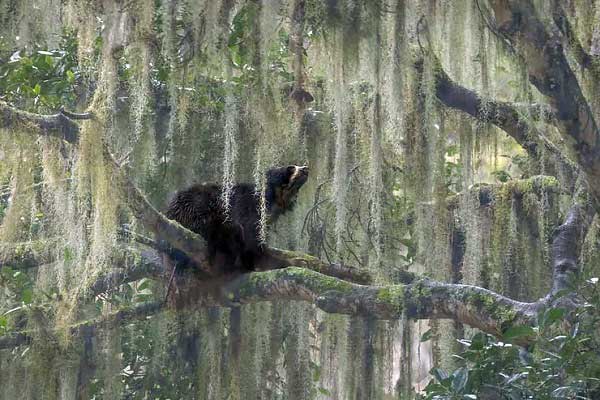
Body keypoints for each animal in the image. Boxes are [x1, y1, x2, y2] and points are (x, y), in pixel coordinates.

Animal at [168, 164, 312, 274]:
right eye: (290, 168)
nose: (305, 168)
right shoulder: (250, 211)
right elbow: (253, 243)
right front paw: (293, 262)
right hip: (199, 207)